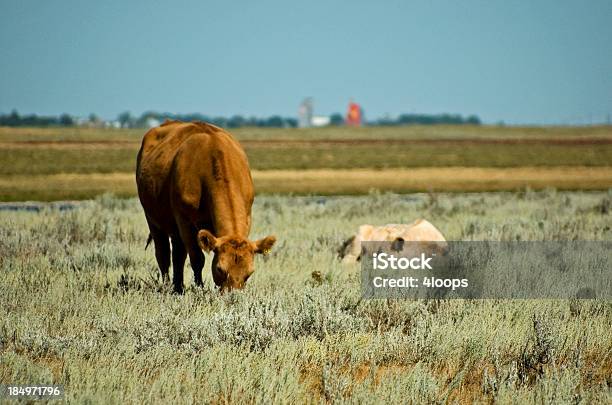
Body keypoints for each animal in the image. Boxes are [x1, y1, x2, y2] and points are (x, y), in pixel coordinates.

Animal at [137, 118, 276, 292]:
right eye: (219, 269)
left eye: (249, 272)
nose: (234, 295)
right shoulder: (185, 221)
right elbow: (197, 258)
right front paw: (200, 288)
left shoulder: (247, 216)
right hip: (153, 220)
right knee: (163, 254)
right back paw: (170, 286)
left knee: (177, 254)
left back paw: (178, 285)